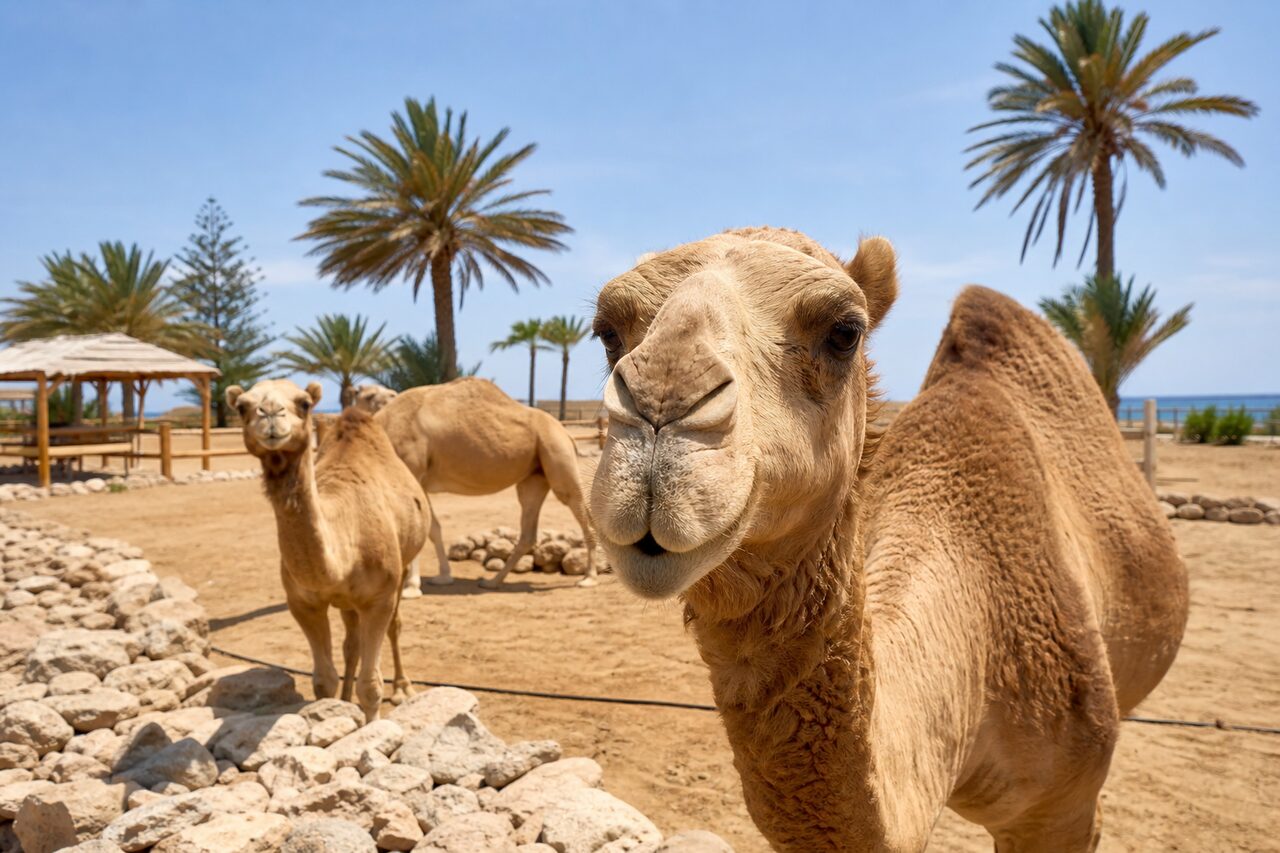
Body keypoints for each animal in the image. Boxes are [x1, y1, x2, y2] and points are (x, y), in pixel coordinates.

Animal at [228, 379, 428, 721]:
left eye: (304, 403)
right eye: (242, 407)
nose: (270, 413)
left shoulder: (379, 597)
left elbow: (371, 686)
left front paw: (372, 723)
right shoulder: (303, 603)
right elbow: (324, 680)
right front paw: (335, 708)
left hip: (401, 567)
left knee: (394, 626)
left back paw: (403, 688)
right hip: (348, 600)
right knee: (352, 642)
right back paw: (348, 699)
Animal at [360, 378, 598, 592]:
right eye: (366, 395)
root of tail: (566, 433)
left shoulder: (414, 471)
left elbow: (422, 526)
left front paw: (411, 587)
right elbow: (433, 528)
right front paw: (443, 577)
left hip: (557, 451)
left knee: (579, 509)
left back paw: (588, 578)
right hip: (535, 475)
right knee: (528, 528)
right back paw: (492, 582)